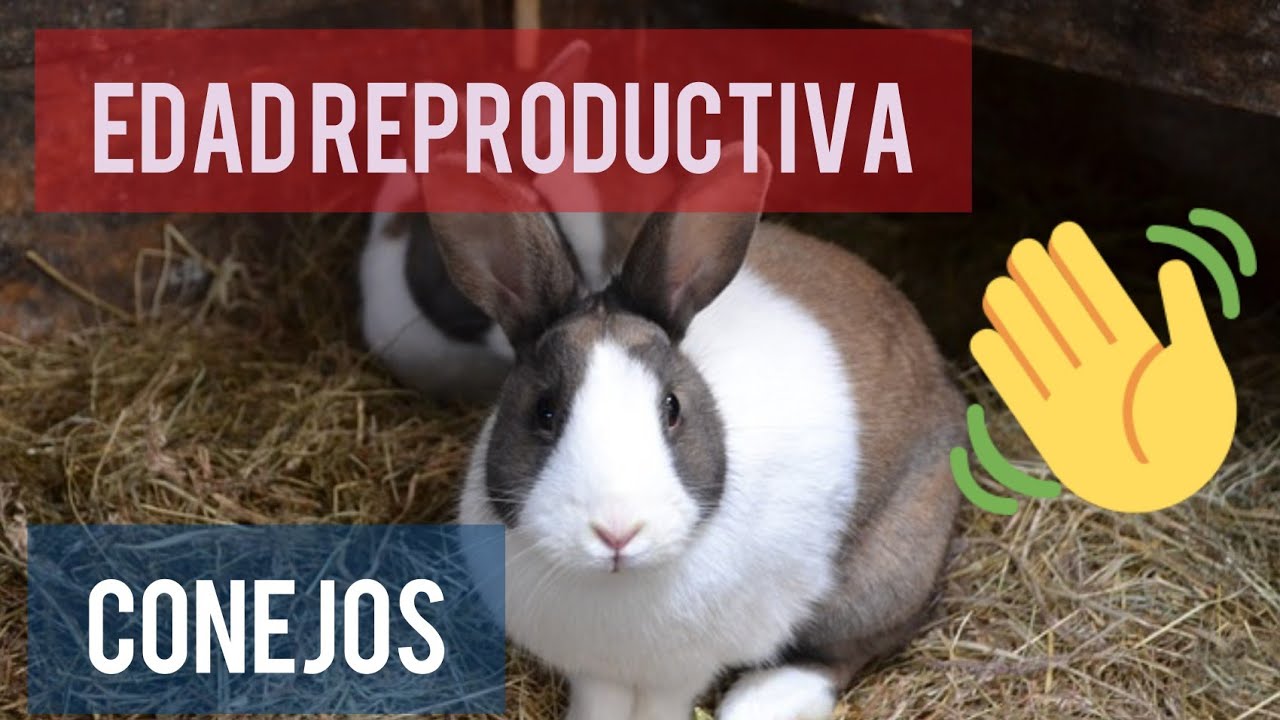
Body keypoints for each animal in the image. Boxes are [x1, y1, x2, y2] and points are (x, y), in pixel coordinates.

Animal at [441, 143, 964, 720]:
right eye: (545, 412)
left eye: (672, 408)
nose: (617, 532)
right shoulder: (594, 671)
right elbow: (599, 702)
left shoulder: (685, 670)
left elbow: (666, 704)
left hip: (882, 577)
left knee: (846, 652)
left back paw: (759, 700)